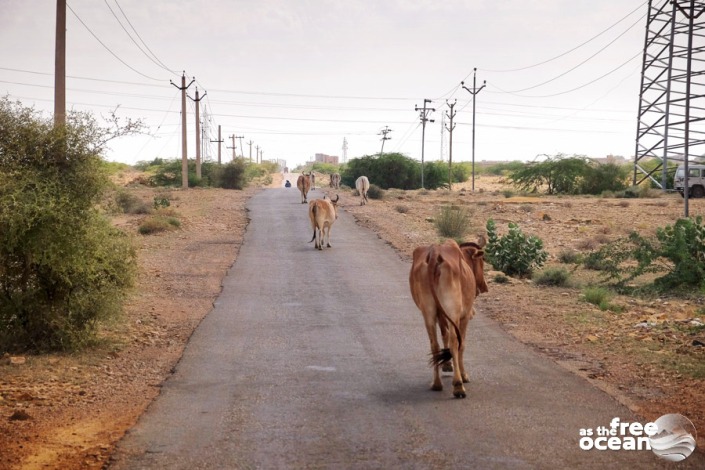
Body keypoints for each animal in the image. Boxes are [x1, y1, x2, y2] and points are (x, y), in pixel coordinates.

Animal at [410, 237, 486, 398]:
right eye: (482, 260)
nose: (484, 286)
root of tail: (434, 253)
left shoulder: (440, 315)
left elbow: (443, 335)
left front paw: (446, 365)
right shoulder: (464, 316)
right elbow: (461, 344)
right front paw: (463, 375)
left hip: (428, 313)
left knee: (434, 344)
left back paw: (436, 383)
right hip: (453, 311)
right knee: (454, 342)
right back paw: (458, 386)